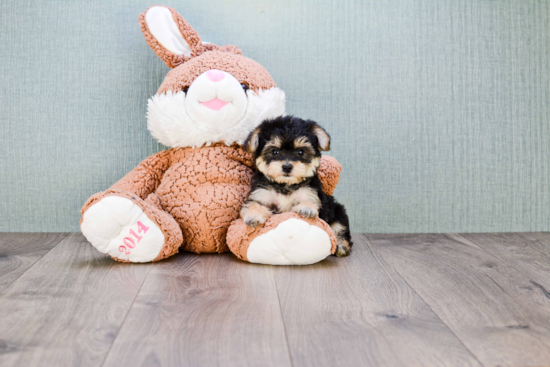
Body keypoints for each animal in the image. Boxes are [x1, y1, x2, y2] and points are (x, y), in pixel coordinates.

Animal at [242, 116, 354, 258]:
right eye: (274, 151)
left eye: (300, 151)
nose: (287, 166)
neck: (285, 184)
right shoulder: (261, 194)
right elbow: (254, 204)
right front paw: (254, 216)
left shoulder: (311, 193)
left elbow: (309, 201)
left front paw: (306, 208)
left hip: (337, 210)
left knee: (340, 228)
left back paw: (341, 246)